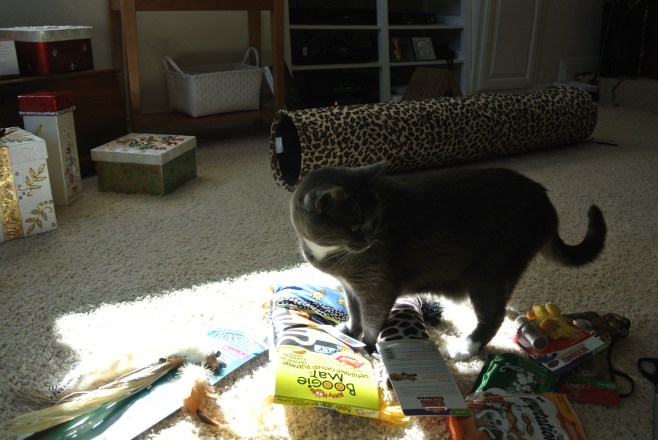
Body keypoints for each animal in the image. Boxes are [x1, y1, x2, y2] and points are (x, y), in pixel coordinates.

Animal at [290, 162, 606, 360]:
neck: (328, 252)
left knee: (494, 316)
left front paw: (366, 346)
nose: (370, 241)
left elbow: (372, 319)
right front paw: (348, 331)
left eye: (376, 220)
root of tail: (546, 204)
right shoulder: (350, 286)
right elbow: (354, 311)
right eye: (355, 227)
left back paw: (464, 349)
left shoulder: (376, 285)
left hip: (492, 269)